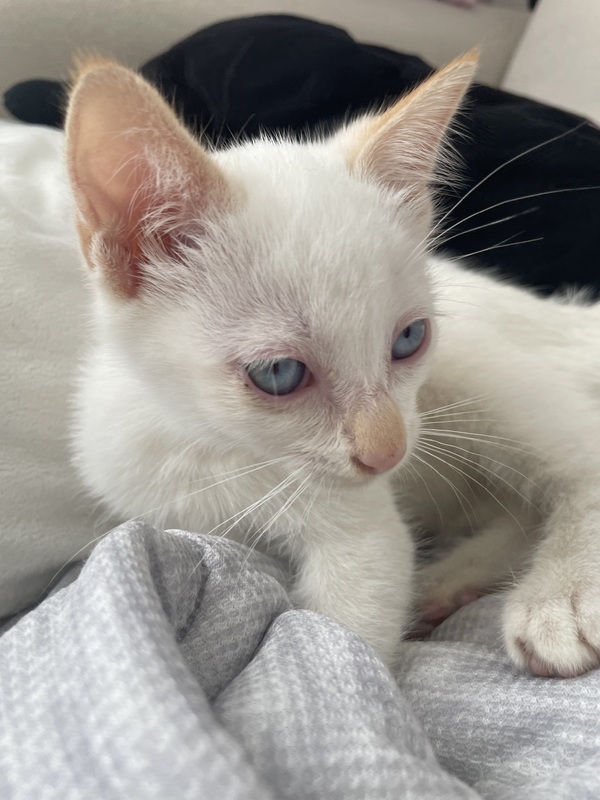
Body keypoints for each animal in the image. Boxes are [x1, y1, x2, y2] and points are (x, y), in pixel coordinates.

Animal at [65, 53, 600, 678]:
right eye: (278, 373)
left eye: (410, 338)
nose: (388, 454)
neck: (214, 449)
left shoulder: (361, 535)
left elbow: (342, 631)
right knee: (517, 510)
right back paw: (447, 583)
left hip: (482, 377)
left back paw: (558, 600)